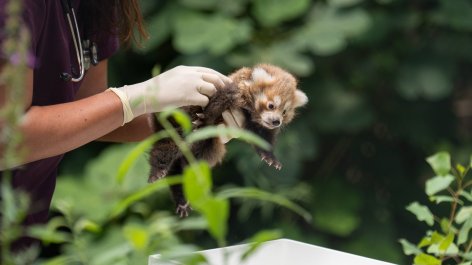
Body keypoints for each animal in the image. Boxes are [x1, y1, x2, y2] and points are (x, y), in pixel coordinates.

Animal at [149, 63, 308, 216]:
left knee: (186, 167)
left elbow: (262, 138)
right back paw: (157, 172)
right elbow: (215, 103)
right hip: (174, 126)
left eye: (284, 112)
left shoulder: (258, 124)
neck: (250, 111)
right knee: (167, 147)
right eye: (271, 105)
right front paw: (205, 120)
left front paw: (270, 157)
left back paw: (181, 198)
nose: (276, 122)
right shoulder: (227, 89)